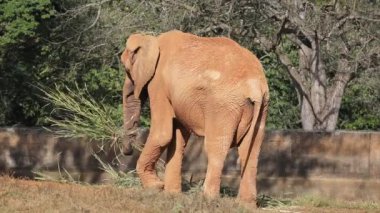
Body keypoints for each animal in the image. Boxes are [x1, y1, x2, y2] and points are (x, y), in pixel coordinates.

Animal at [120, 30, 268, 205]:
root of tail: (254, 86)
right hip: (261, 107)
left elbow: (163, 134)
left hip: (223, 107)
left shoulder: (159, 84)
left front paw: (155, 187)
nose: (127, 151)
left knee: (217, 147)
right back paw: (245, 204)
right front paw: (171, 195)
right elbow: (177, 138)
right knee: (251, 150)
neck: (152, 39)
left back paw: (208, 199)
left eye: (126, 69)